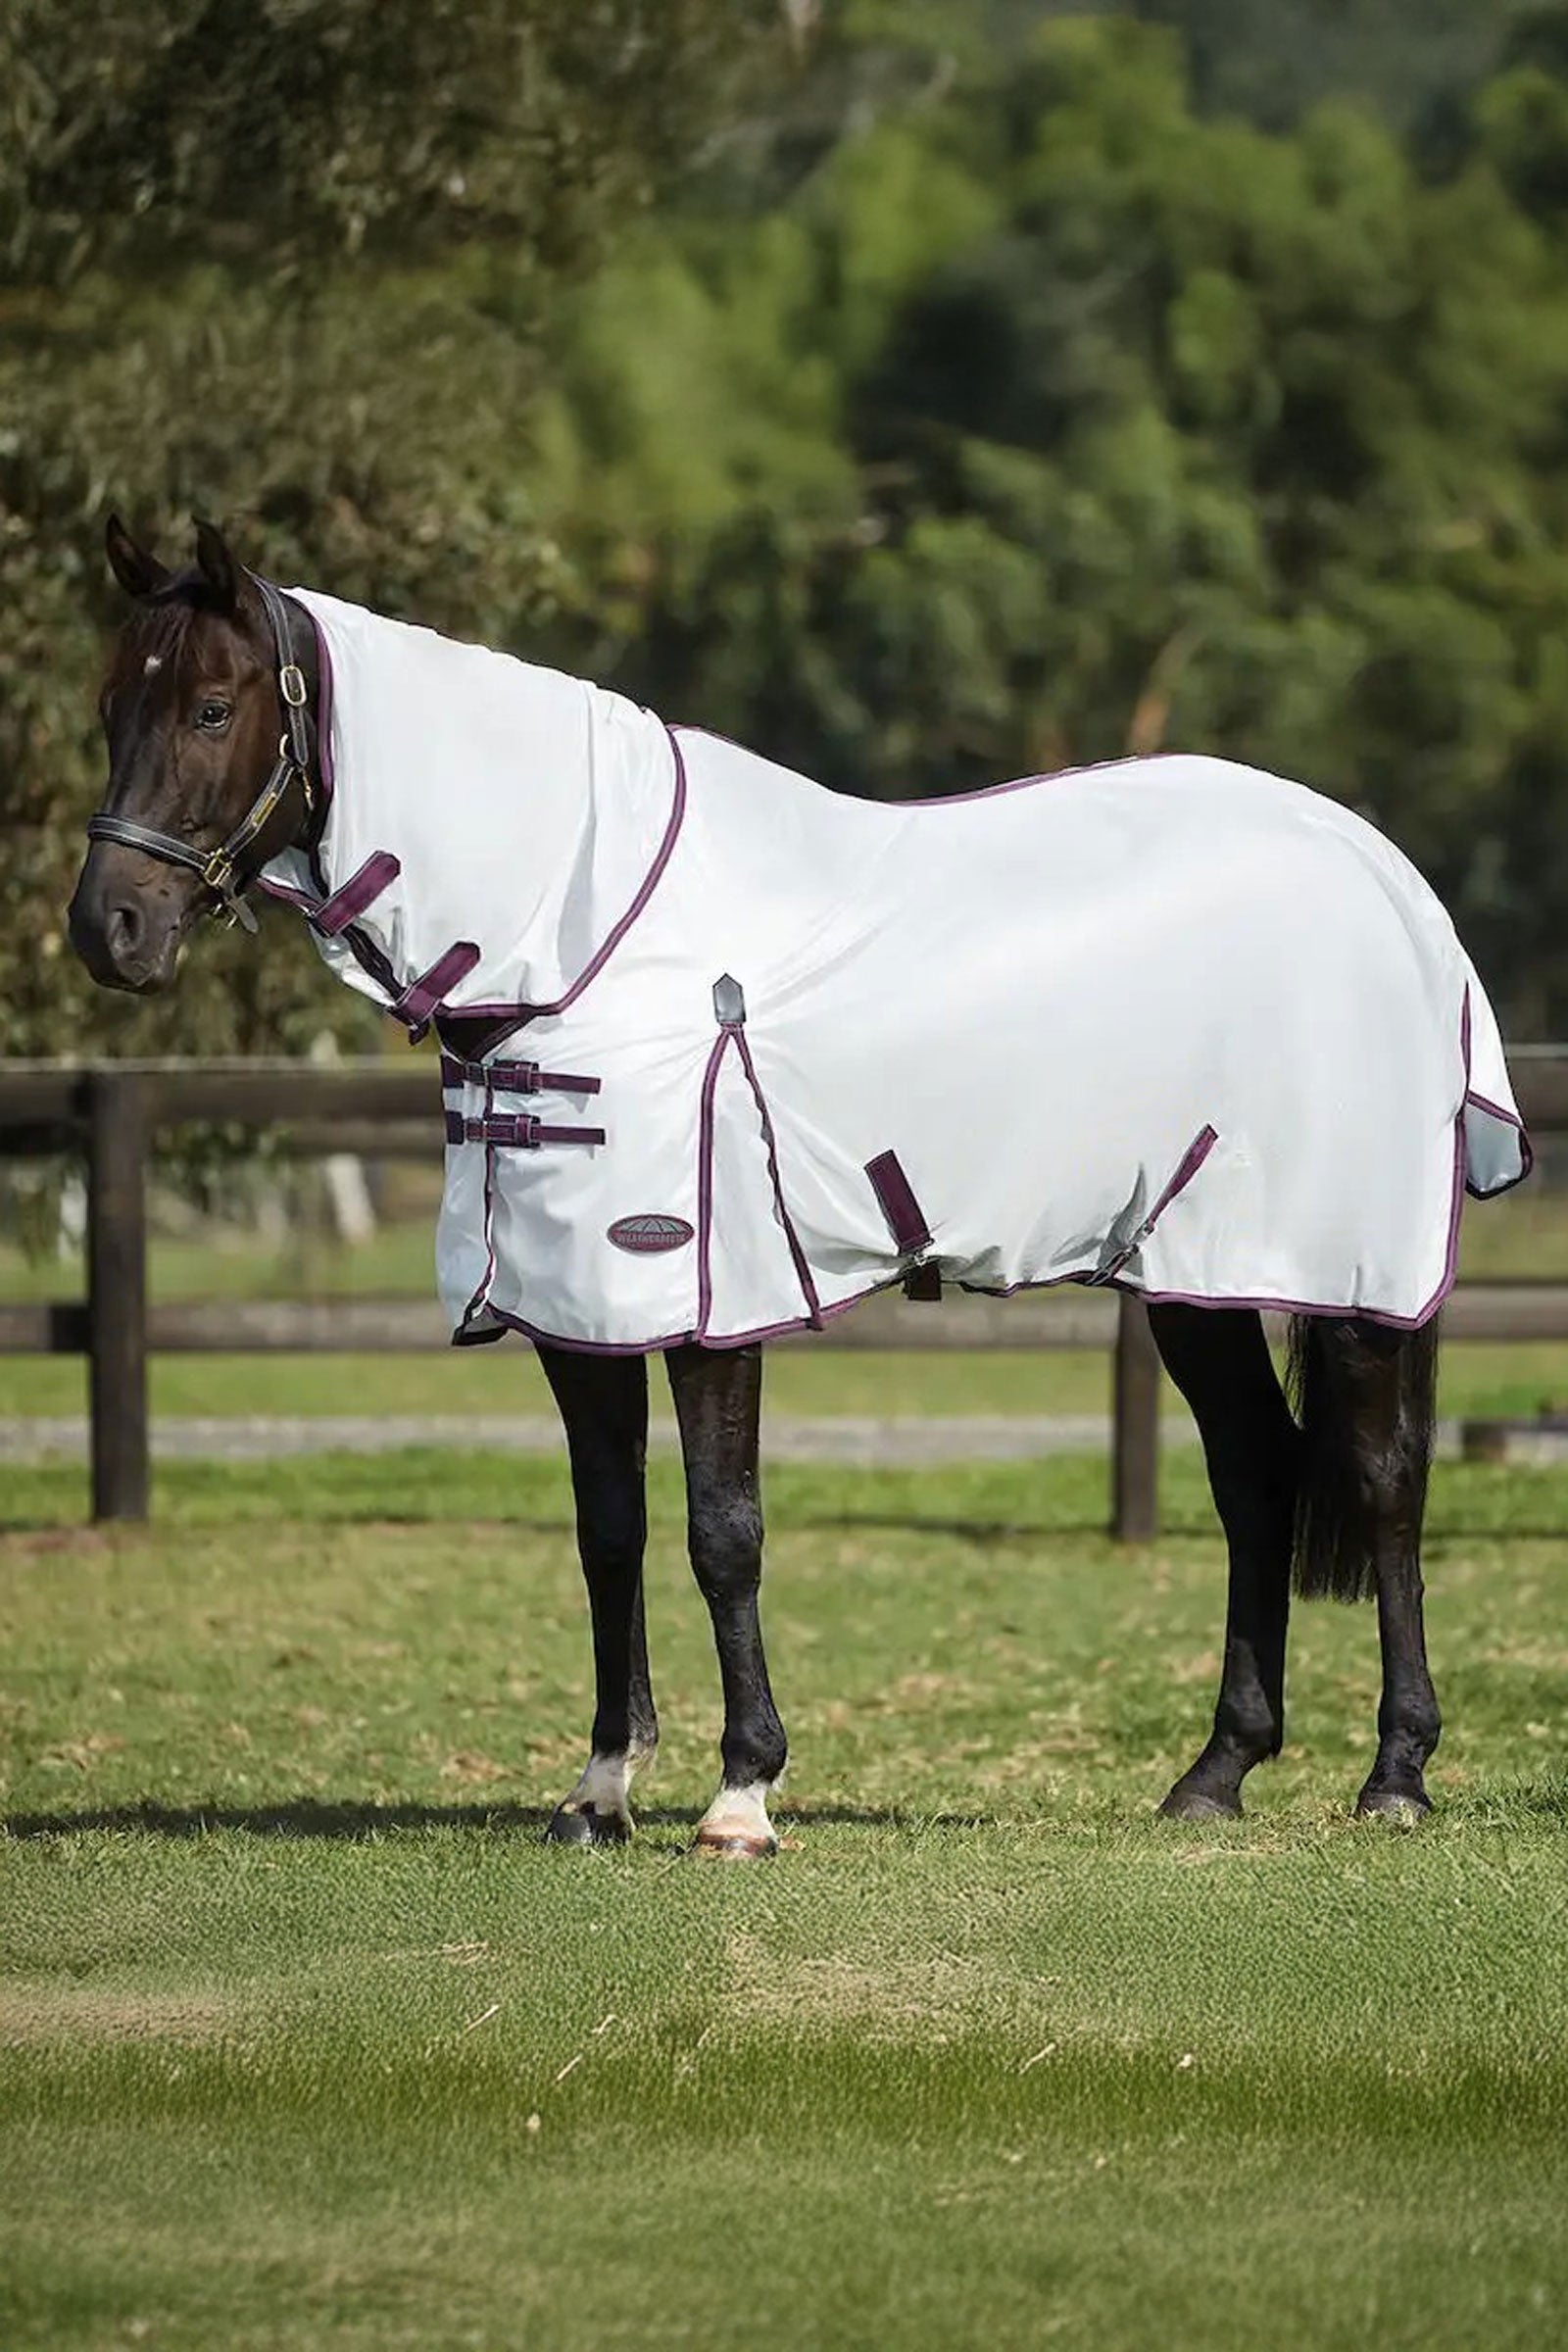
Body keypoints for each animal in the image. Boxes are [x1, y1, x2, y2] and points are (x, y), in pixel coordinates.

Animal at [67, 517, 1530, 1852]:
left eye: (210, 705)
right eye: (107, 704)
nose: (107, 931)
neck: (589, 936)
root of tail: (1388, 879)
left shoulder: (709, 1300)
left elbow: (723, 1530)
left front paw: (742, 1795)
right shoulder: (575, 1309)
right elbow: (608, 1530)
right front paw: (600, 1792)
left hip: (1347, 1275)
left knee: (1384, 1481)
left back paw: (1396, 1776)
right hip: (1191, 1275)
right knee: (1257, 1478)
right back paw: (1215, 1774)